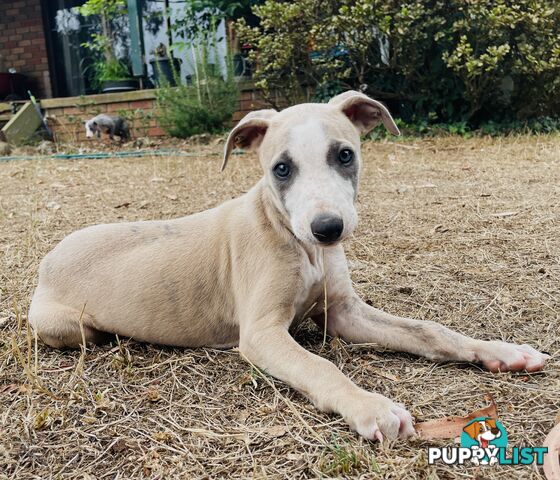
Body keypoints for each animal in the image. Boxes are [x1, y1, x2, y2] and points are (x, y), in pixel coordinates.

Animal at [29, 92, 548, 440]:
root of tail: (50, 255)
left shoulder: (344, 313)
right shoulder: (262, 334)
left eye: (345, 155)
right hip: (64, 327)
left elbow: (429, 330)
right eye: (281, 168)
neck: (300, 245)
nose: (328, 228)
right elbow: (321, 366)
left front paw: (502, 351)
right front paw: (370, 406)